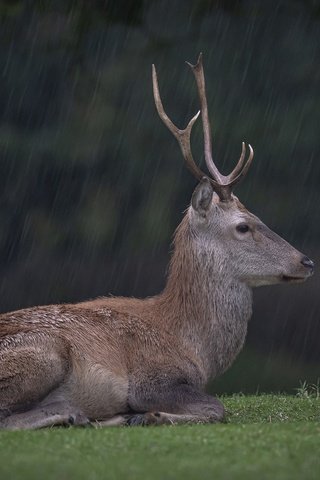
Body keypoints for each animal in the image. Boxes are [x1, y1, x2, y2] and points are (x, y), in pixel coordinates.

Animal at [0, 54, 314, 430]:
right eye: (243, 226)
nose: (306, 261)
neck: (192, 347)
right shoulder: (151, 377)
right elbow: (216, 408)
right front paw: (149, 414)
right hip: (44, 353)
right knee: (8, 418)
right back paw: (87, 415)